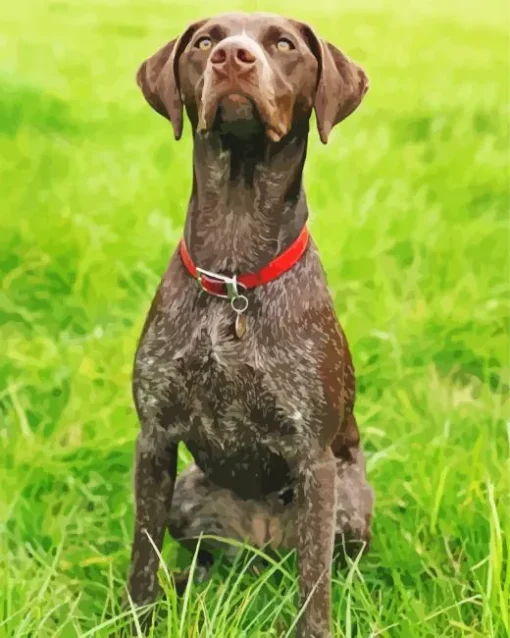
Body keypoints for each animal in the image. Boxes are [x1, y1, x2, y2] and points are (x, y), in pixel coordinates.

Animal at [127, 11, 374, 638]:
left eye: (284, 44)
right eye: (205, 42)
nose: (232, 58)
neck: (235, 278)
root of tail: (263, 549)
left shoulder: (313, 459)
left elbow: (315, 591)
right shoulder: (155, 438)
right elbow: (143, 555)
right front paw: (136, 617)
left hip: (350, 498)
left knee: (334, 565)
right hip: (190, 492)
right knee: (195, 555)